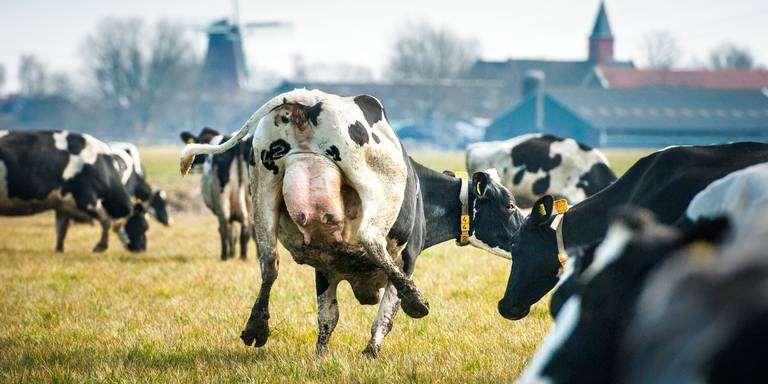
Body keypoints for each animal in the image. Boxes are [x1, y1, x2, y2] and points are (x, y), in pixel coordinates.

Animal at [0, 130, 148, 254]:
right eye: (143, 226)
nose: (141, 249)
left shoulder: (63, 204)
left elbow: (61, 229)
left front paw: (59, 250)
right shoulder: (86, 199)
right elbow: (106, 220)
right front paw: (100, 246)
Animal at [178, 127, 254, 260]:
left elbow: (231, 232)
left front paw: (231, 253)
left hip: (222, 201)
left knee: (225, 228)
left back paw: (225, 256)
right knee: (248, 229)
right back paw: (243, 257)